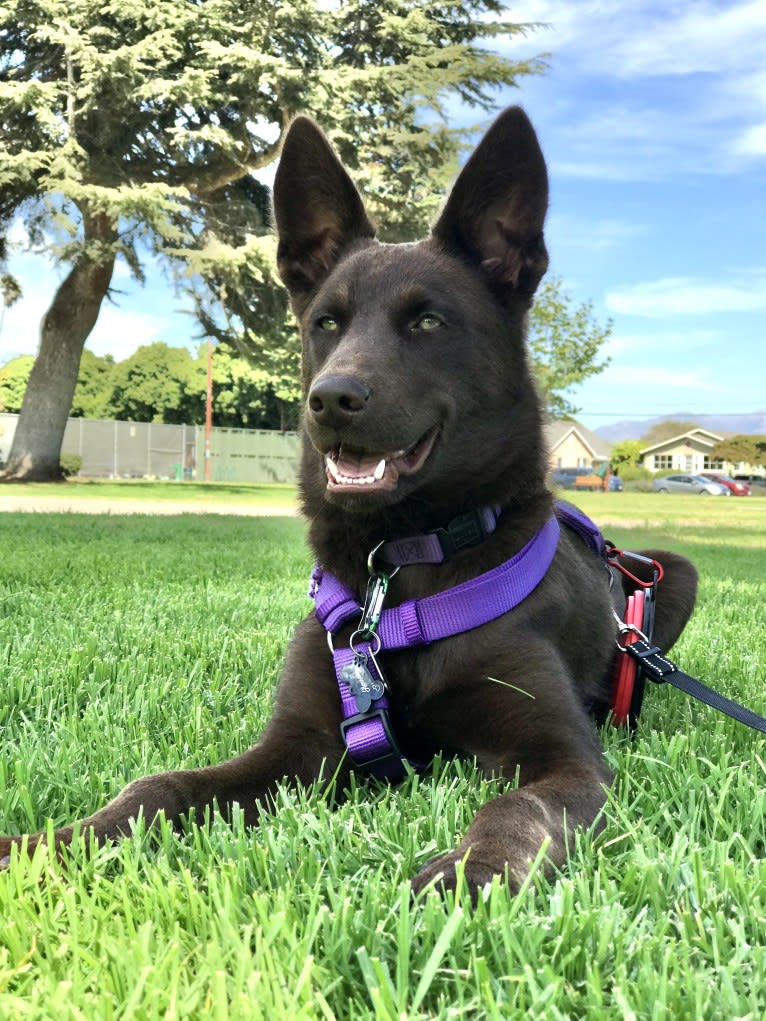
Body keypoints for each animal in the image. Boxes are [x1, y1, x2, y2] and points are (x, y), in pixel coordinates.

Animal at [0, 107, 698, 898]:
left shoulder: (564, 754)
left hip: (673, 575)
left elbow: (523, 808)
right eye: (326, 323)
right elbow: (162, 787)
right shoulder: (302, 744)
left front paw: (470, 875)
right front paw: (50, 845)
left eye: (428, 322)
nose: (330, 399)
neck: (402, 567)